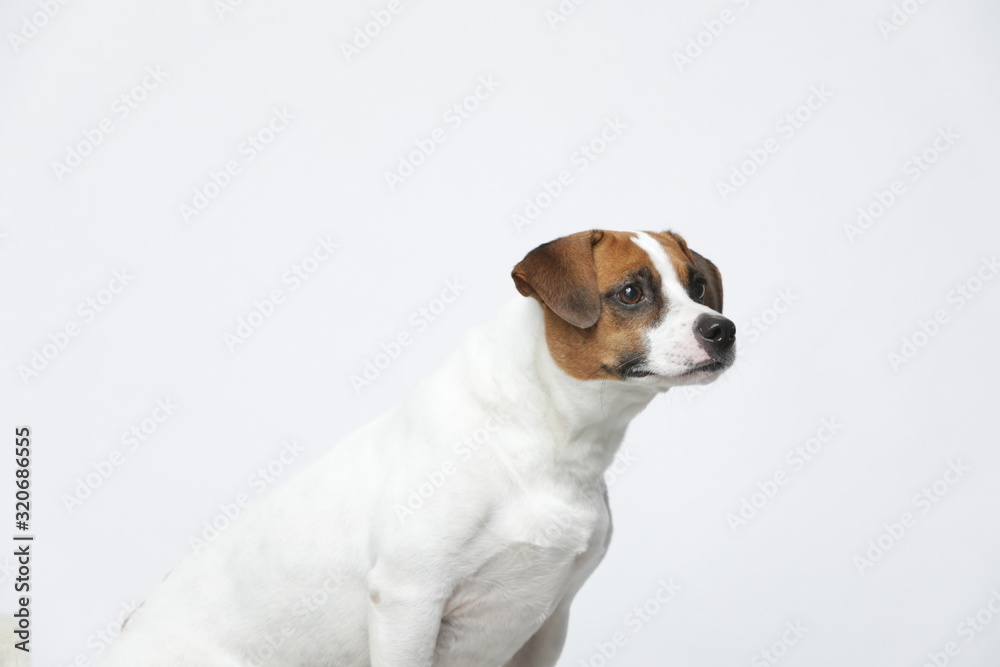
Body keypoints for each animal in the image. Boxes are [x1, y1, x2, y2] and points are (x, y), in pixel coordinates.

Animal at [99, 230, 736, 667]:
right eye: (631, 292)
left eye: (697, 286)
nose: (722, 329)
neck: (544, 436)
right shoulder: (409, 600)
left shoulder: (548, 621)